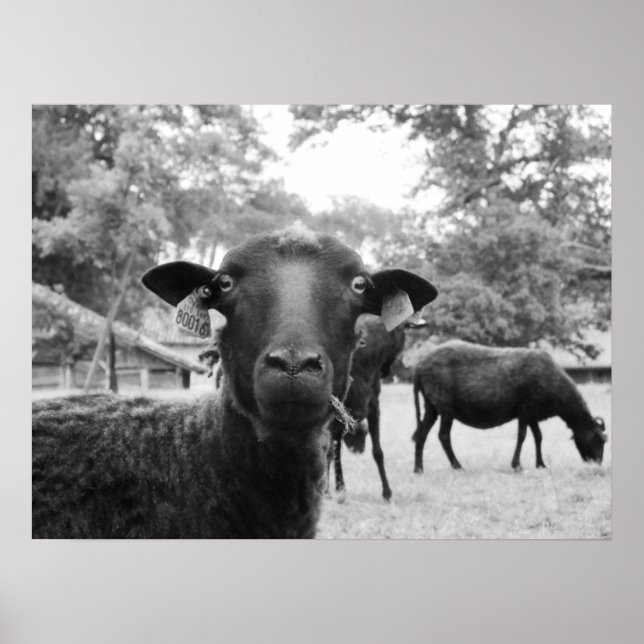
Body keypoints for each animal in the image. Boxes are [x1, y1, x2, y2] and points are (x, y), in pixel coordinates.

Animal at [411, 340, 607, 473]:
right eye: (599, 439)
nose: (598, 463)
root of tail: (419, 366)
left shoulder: (533, 413)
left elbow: (538, 437)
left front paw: (540, 464)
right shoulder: (526, 408)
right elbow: (522, 436)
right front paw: (517, 465)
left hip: (431, 406)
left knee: (422, 434)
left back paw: (419, 468)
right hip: (446, 407)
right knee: (443, 436)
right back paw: (457, 465)